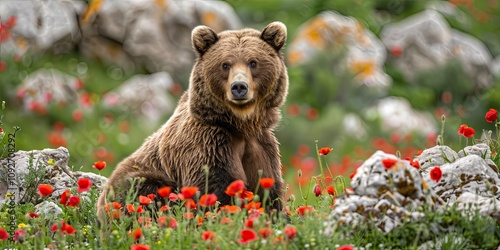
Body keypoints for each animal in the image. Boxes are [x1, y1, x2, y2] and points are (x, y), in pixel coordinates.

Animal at [96, 21, 290, 221]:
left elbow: (268, 191)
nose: (239, 87)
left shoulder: (261, 146)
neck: (241, 125)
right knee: (141, 189)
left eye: (253, 62)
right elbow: (214, 190)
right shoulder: (209, 143)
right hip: (139, 178)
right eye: (225, 64)